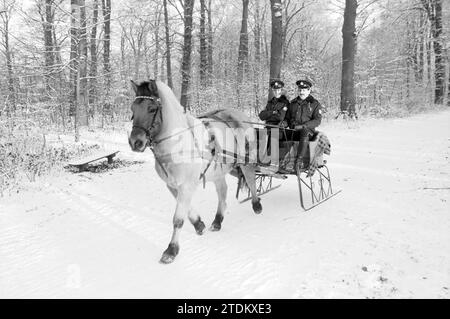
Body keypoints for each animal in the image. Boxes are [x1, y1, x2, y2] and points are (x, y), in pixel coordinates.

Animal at [128, 80, 262, 264]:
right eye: (133, 108)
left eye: (152, 108)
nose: (135, 142)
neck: (177, 143)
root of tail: (240, 115)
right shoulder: (173, 185)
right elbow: (187, 210)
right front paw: (199, 224)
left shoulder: (186, 185)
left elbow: (178, 219)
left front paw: (171, 250)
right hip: (217, 171)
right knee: (222, 192)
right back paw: (217, 221)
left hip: (246, 162)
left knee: (250, 180)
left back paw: (256, 205)